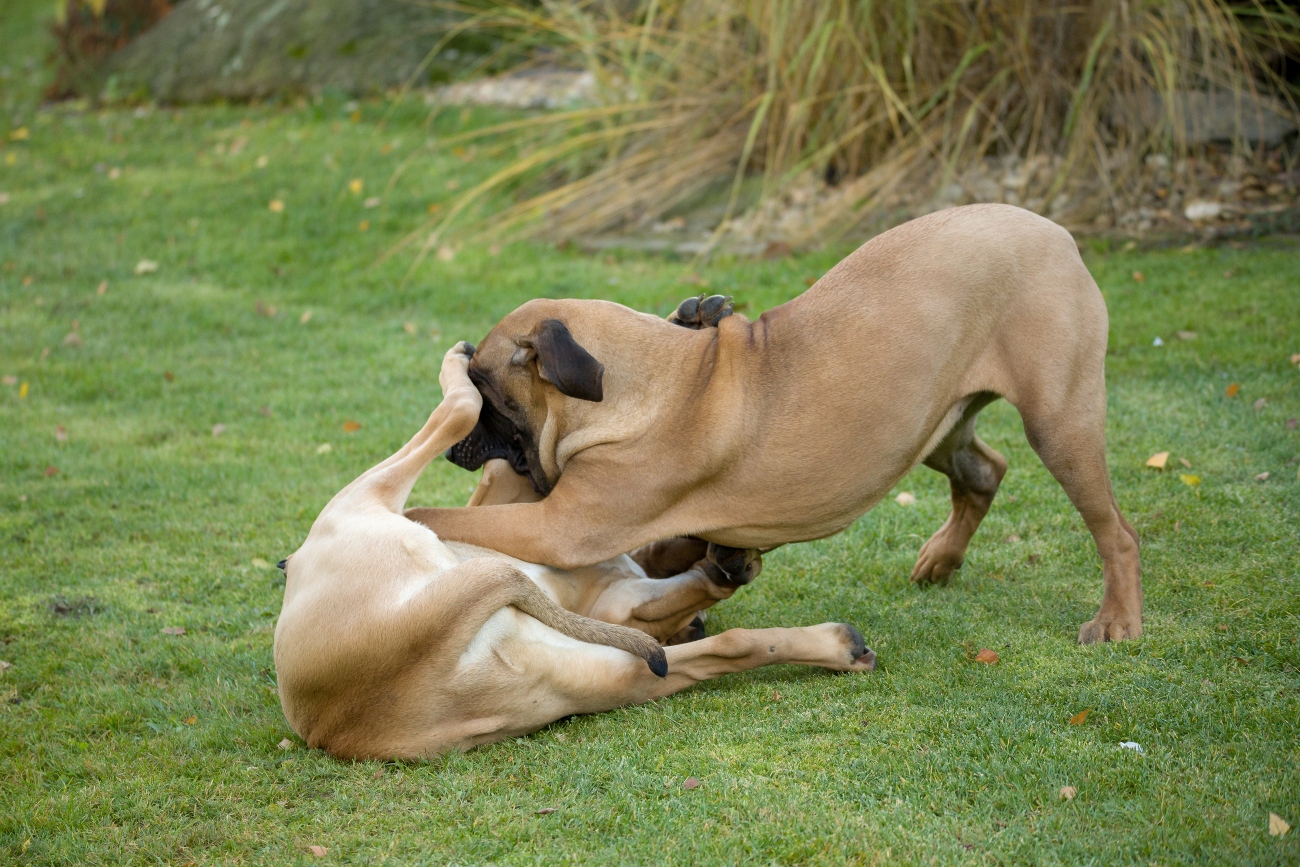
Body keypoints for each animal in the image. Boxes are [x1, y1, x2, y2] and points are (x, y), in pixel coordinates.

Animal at [278, 343, 878, 759]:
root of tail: (342, 712)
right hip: (361, 501)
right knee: (455, 410)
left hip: (591, 675)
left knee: (726, 647)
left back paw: (836, 645)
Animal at [410, 205, 1144, 644]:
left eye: (483, 388)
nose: (460, 444)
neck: (650, 380)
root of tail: (1054, 232)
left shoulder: (559, 526)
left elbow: (445, 516)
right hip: (932, 424)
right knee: (985, 471)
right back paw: (941, 558)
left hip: (1059, 422)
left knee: (1117, 531)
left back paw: (1117, 620)